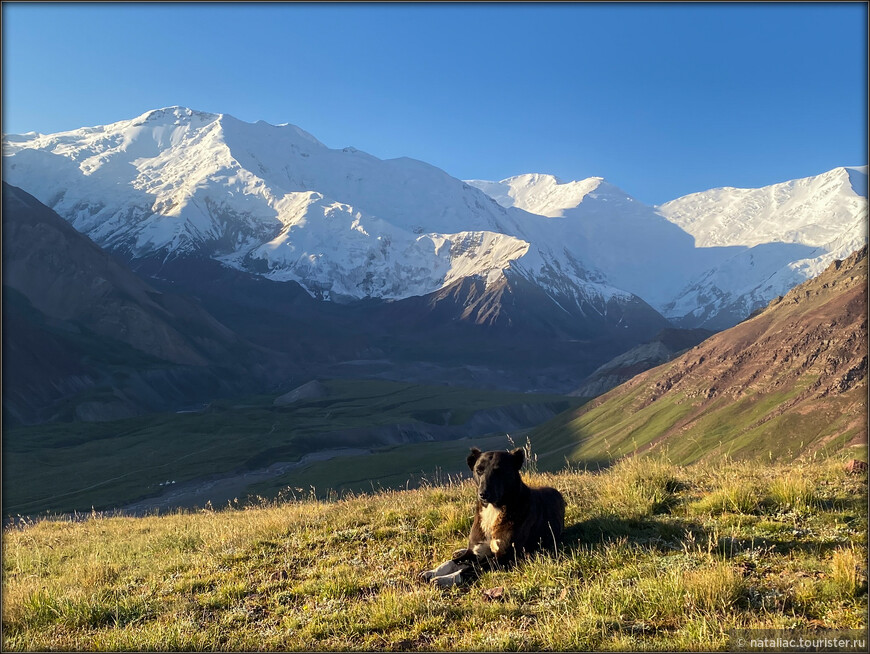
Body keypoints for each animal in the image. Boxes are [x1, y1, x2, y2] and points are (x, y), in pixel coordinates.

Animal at [420, 448, 564, 588]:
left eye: (499, 471)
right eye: (479, 470)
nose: (483, 494)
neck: (494, 510)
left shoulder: (505, 557)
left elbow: (471, 569)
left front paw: (445, 579)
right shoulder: (474, 552)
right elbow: (451, 562)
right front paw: (432, 571)